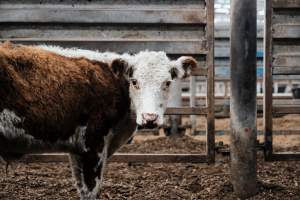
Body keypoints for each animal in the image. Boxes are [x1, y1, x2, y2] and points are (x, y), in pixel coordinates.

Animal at [0, 41, 197, 199]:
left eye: (167, 82)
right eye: (134, 81)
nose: (150, 118)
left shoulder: (77, 150)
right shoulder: (93, 144)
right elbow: (91, 190)